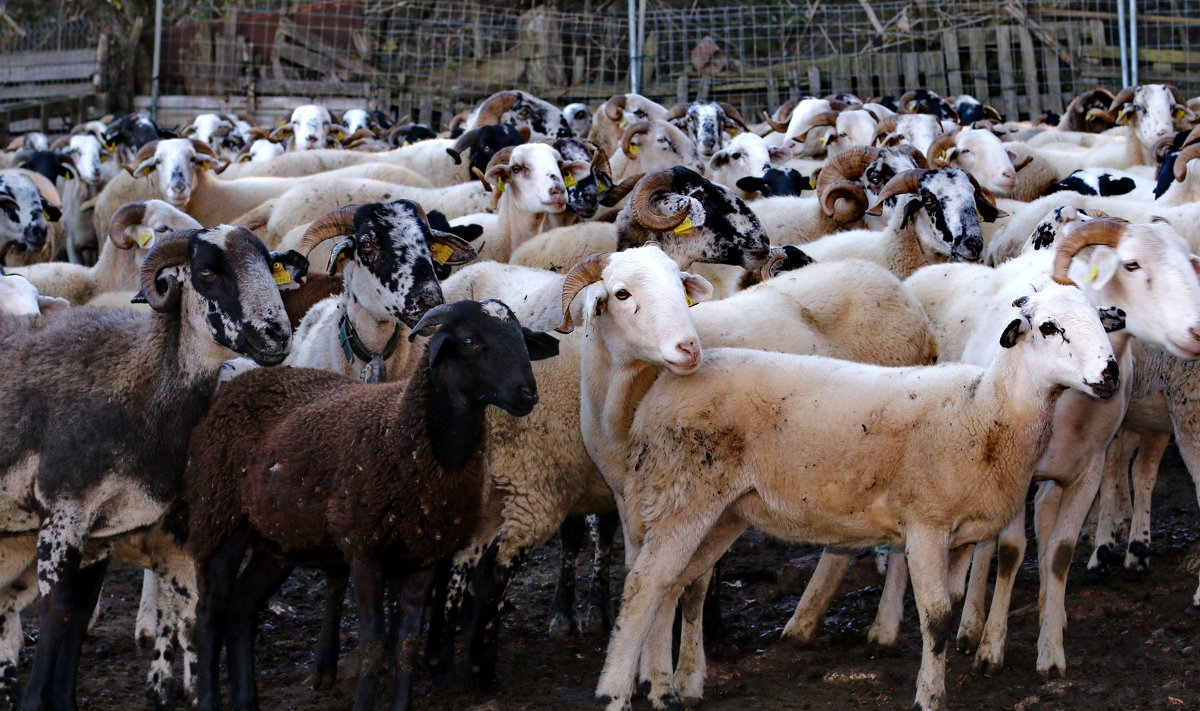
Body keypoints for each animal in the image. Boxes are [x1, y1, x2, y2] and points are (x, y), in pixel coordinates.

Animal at [0, 223, 294, 711]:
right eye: (207, 270)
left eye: (271, 266)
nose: (277, 335)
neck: (141, 381)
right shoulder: (64, 510)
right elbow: (56, 613)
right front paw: (34, 699)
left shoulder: (103, 528)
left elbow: (77, 616)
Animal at [184, 295, 559, 711]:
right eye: (469, 340)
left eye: (521, 337)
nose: (527, 393)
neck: (405, 432)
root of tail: (239, 384)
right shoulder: (364, 551)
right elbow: (374, 644)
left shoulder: (424, 556)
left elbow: (406, 644)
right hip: (220, 519)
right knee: (211, 615)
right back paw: (210, 698)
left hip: (277, 541)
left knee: (241, 612)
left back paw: (247, 700)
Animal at [556, 246, 1118, 711]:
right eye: (1048, 327)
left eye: (1102, 320)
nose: (1111, 373)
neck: (986, 411)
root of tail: (663, 390)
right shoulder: (926, 525)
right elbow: (935, 616)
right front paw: (929, 697)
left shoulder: (960, 537)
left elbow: (953, 607)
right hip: (682, 496)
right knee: (645, 584)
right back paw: (615, 694)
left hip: (723, 510)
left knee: (676, 584)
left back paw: (669, 689)